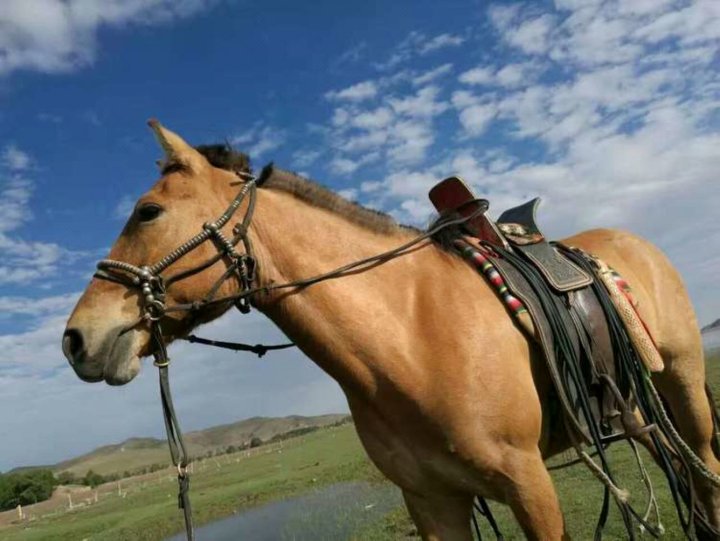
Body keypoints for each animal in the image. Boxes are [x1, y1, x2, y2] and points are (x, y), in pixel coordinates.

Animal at [62, 120, 720, 536]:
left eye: (147, 212)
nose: (75, 340)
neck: (411, 339)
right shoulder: (433, 502)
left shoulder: (529, 483)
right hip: (631, 410)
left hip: (683, 385)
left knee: (704, 471)